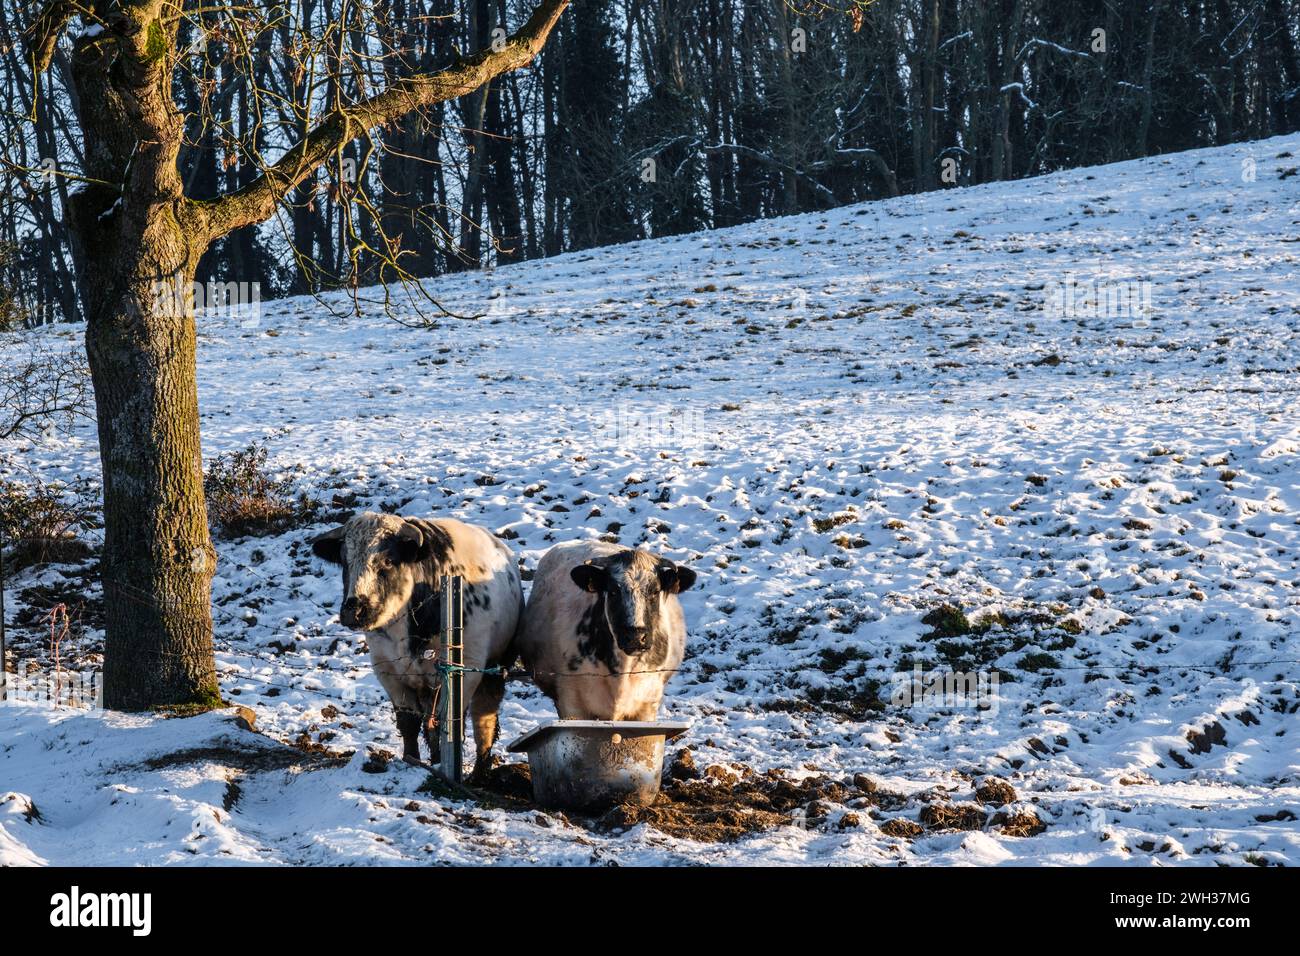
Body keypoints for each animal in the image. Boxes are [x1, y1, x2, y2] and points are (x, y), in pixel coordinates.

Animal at [309, 512, 522, 775]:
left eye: (388, 560)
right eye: (344, 561)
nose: (354, 611)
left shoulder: (463, 671)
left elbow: (447, 724)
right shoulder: (388, 670)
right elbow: (409, 722)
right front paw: (411, 759)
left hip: (494, 671)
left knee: (485, 720)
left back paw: (479, 772)